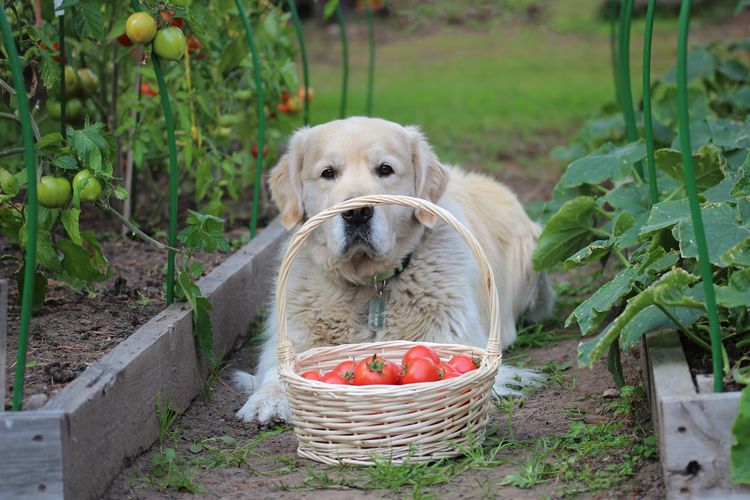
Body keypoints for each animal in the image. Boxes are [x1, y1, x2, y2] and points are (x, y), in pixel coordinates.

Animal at [238, 118, 556, 426]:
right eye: (328, 173)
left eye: (385, 169)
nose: (357, 212)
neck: (368, 285)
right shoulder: (294, 335)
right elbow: (278, 370)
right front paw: (267, 401)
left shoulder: (451, 334)